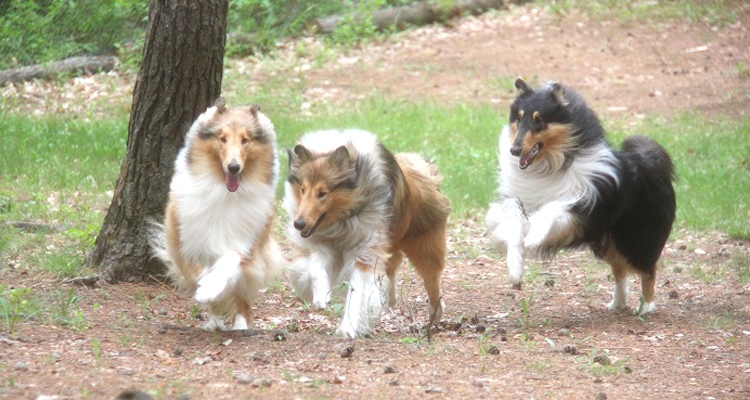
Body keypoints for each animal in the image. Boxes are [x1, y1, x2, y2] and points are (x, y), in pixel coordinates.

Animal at [150, 98, 282, 331]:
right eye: (222, 138)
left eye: (245, 140)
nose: (234, 167)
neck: (223, 193)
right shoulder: (185, 242)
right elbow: (197, 273)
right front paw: (205, 288)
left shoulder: (247, 245)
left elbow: (230, 259)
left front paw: (211, 287)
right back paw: (215, 319)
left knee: (243, 302)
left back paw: (239, 326)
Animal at [283, 130, 452, 338]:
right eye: (303, 189)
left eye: (322, 193)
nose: (298, 224)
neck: (342, 220)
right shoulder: (322, 243)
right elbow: (315, 268)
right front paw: (321, 296)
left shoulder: (364, 251)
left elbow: (357, 291)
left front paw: (347, 328)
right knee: (391, 270)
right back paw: (390, 299)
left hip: (423, 245)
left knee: (431, 280)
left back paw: (435, 314)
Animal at [486, 79, 676, 315]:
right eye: (519, 119)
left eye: (539, 121)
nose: (515, 150)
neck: (549, 166)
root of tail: (649, 159)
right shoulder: (517, 200)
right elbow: (513, 226)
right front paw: (514, 269)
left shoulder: (581, 205)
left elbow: (551, 209)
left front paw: (533, 238)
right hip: (607, 241)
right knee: (620, 270)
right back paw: (618, 303)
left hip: (635, 237)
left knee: (647, 269)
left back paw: (646, 307)